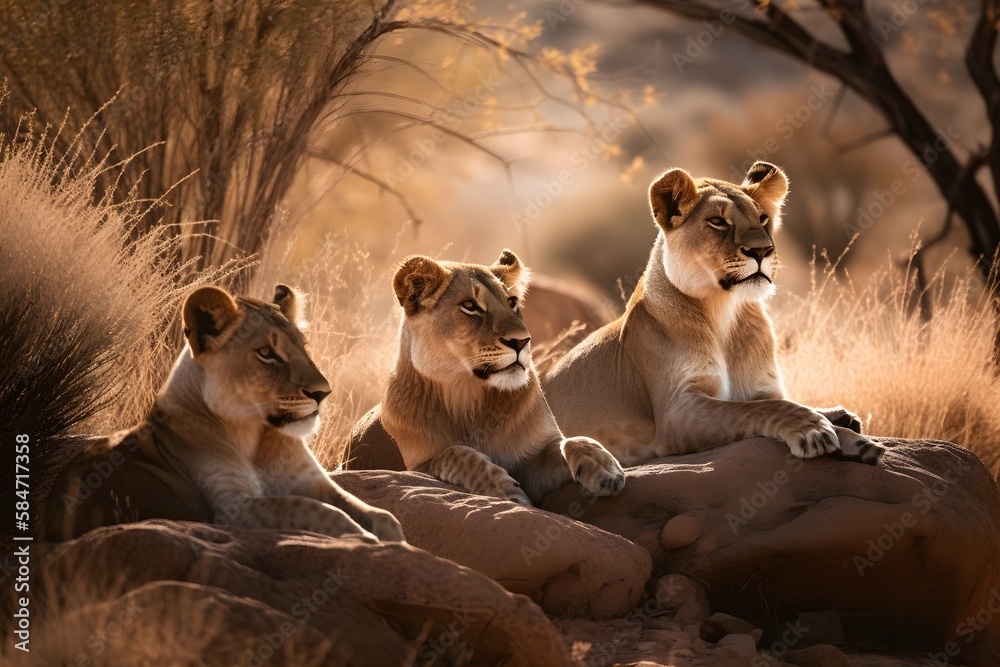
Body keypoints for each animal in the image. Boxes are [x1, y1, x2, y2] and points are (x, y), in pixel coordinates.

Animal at [45, 284, 404, 542]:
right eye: (266, 353)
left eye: (304, 346)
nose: (322, 392)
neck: (256, 439)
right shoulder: (231, 509)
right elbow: (312, 509)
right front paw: (363, 538)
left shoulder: (313, 481)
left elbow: (377, 513)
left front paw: (393, 540)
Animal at [347, 250, 625, 504]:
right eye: (470, 306)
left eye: (512, 302)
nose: (522, 341)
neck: (468, 395)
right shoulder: (419, 466)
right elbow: (454, 453)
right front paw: (508, 492)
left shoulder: (533, 462)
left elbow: (573, 441)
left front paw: (606, 469)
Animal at [542, 161, 884, 467]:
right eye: (718, 222)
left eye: (763, 218)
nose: (762, 250)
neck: (724, 313)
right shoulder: (676, 412)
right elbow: (754, 410)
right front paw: (814, 429)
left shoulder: (761, 388)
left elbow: (776, 402)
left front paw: (852, 436)